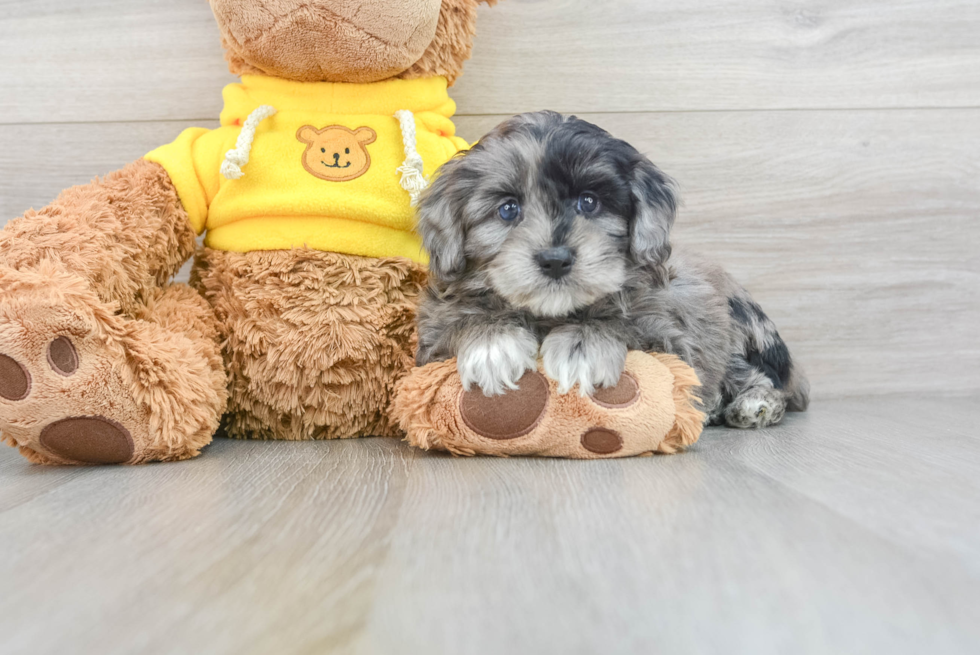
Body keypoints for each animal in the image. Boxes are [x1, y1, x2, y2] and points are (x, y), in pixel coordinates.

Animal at [414, 111, 804, 430]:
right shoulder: (430, 340)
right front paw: (493, 344)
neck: (551, 314)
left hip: (739, 325)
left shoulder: (671, 332)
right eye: (508, 209)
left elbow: (627, 322)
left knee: (759, 377)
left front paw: (584, 343)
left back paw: (753, 404)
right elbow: (458, 322)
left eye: (589, 202)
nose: (555, 259)